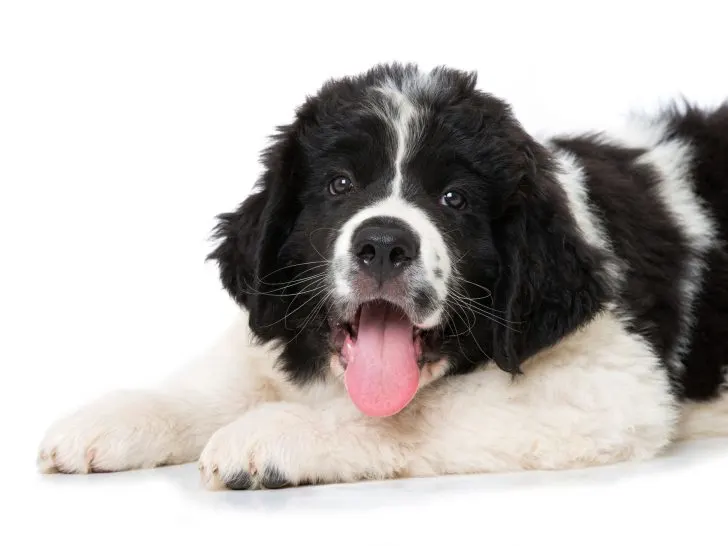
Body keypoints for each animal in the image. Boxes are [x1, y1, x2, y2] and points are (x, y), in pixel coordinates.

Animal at [37, 63, 728, 488]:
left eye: (454, 199)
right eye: (340, 186)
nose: (383, 244)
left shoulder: (608, 382)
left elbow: (415, 413)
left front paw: (272, 436)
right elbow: (219, 385)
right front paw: (116, 420)